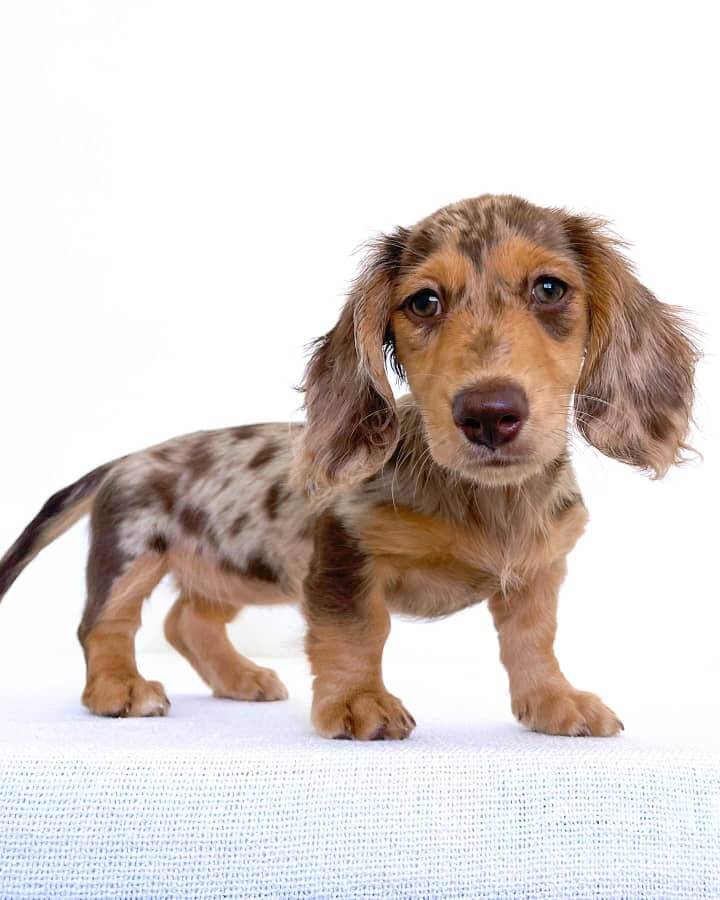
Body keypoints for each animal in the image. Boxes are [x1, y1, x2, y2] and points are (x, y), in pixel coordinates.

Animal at [0, 195, 696, 740]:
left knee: (186, 621)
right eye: (424, 302)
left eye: (550, 288)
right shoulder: (343, 551)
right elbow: (359, 631)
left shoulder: (538, 573)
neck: (486, 498)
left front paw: (554, 702)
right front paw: (360, 702)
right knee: (104, 625)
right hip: (131, 553)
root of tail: (125, 457)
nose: (488, 413)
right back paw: (118, 688)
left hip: (235, 569)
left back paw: (240, 678)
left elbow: (533, 641)